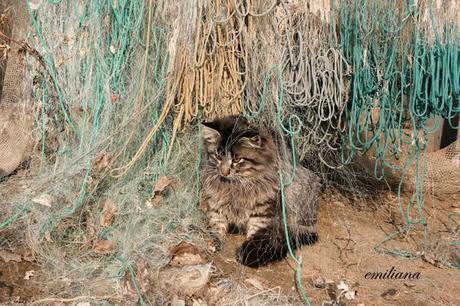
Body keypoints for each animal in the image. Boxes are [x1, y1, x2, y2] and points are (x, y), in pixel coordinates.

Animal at [199, 116, 322, 266]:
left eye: (237, 159)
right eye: (218, 156)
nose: (224, 172)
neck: (235, 187)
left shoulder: (262, 216)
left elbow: (256, 240)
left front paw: (248, 254)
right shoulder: (216, 206)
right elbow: (215, 226)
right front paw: (212, 241)